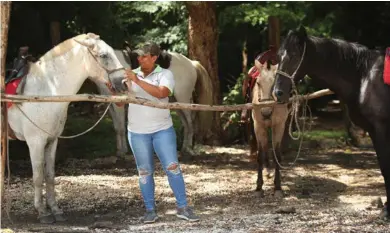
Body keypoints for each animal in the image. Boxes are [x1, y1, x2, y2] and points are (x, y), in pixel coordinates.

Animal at [7, 32, 125, 222]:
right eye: (104, 55)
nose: (124, 82)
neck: (47, 91)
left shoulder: (52, 140)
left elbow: (49, 175)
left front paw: (55, 210)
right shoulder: (35, 142)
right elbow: (38, 177)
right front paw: (42, 212)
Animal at [251, 57, 288, 198]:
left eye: (275, 84)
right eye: (258, 83)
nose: (266, 112)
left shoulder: (279, 125)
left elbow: (277, 154)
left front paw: (277, 187)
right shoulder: (258, 126)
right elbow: (260, 154)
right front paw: (258, 187)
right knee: (266, 146)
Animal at [272, 26, 390, 219]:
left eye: (294, 55)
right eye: (279, 56)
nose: (278, 93)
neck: (365, 76)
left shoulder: (381, 129)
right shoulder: (374, 132)